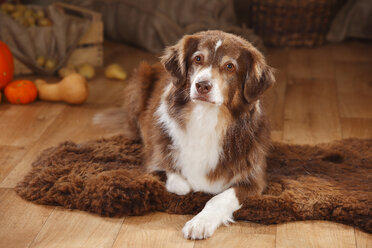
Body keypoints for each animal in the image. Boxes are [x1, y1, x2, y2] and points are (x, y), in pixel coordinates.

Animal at [96, 30, 276, 239]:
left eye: (230, 66)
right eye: (198, 58)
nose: (202, 85)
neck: (206, 117)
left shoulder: (254, 179)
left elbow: (219, 198)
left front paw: (199, 223)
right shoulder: (154, 156)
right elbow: (177, 180)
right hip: (139, 80)